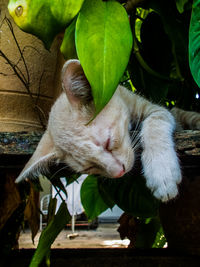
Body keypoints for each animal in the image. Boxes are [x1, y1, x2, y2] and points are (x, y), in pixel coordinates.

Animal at [15, 59, 200, 202]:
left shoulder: (156, 110)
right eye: (90, 168)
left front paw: (161, 172)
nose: (119, 173)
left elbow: (155, 125)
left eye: (109, 142)